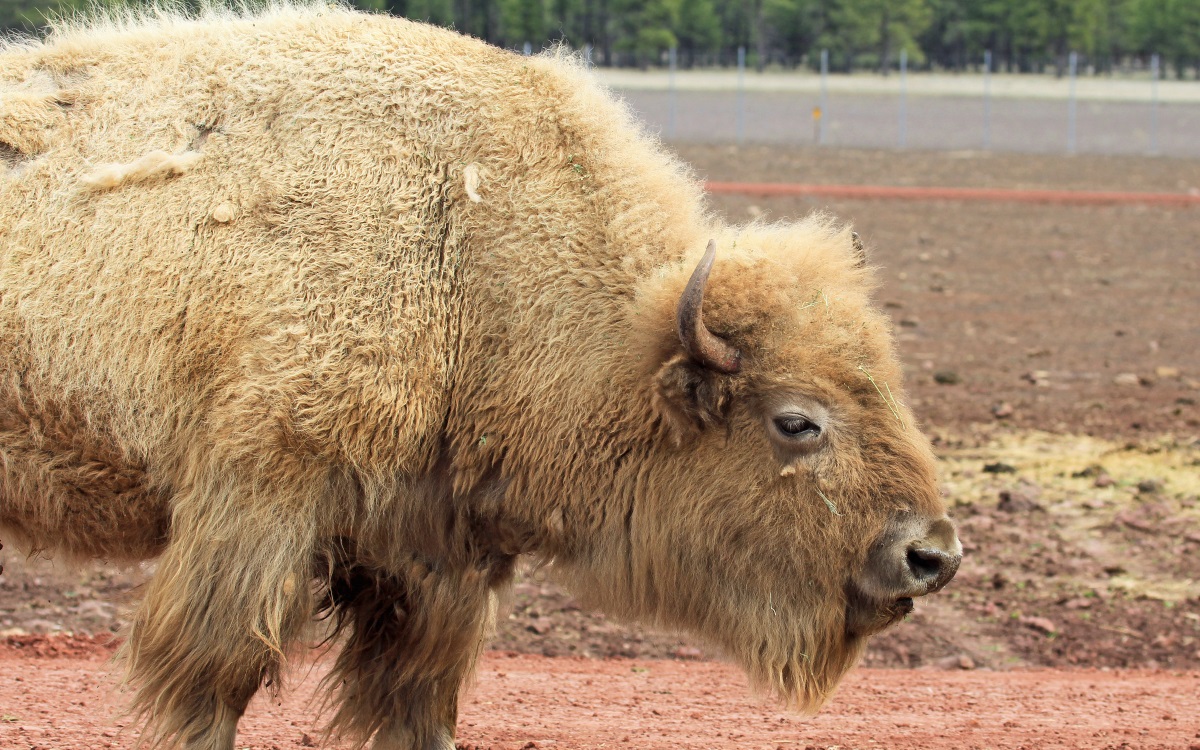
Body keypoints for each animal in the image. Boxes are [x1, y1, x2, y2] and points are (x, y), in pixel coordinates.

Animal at [0, 5, 955, 748]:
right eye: (796, 421)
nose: (931, 554)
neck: (468, 255)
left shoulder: (435, 563)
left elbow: (420, 706)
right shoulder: (259, 505)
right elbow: (214, 683)